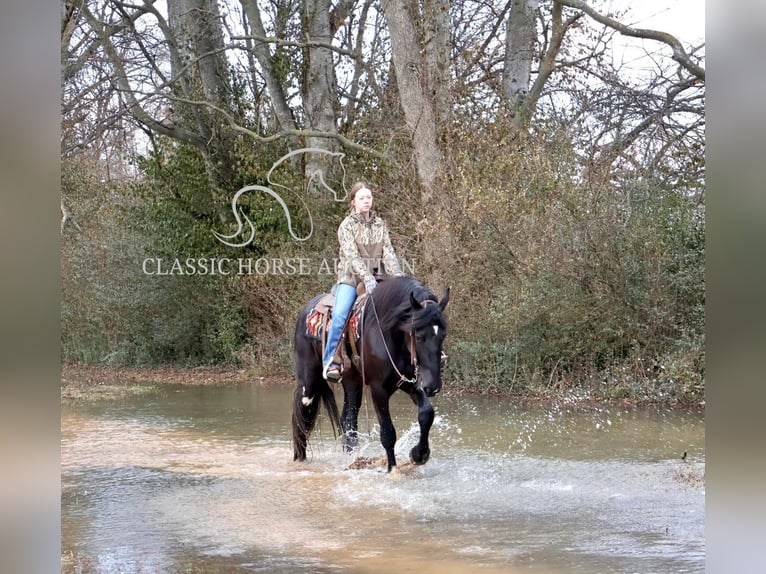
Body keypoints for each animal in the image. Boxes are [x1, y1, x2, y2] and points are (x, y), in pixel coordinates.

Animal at [292, 278, 450, 472]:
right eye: (419, 336)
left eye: (442, 335)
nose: (433, 386)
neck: (390, 334)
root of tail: (305, 310)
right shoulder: (378, 389)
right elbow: (388, 432)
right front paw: (392, 469)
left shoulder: (410, 383)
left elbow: (426, 414)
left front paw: (419, 454)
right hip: (308, 383)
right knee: (302, 417)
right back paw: (300, 459)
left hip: (352, 382)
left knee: (348, 420)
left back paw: (353, 459)